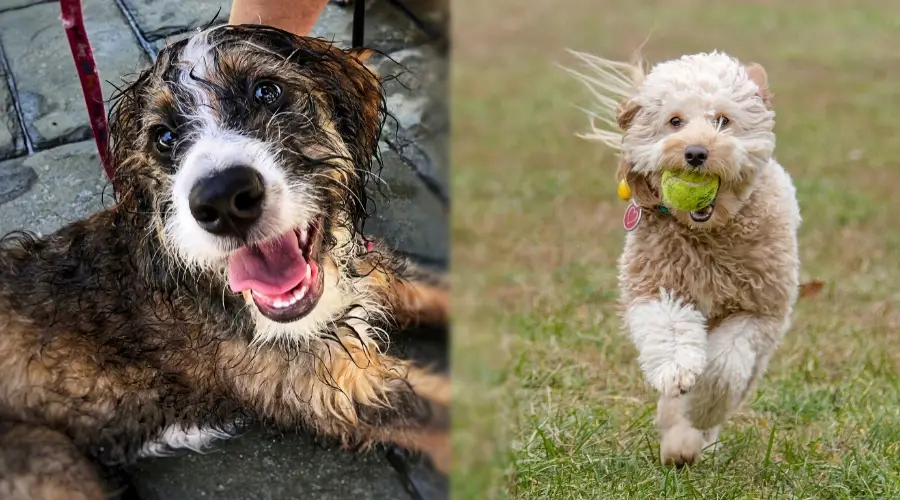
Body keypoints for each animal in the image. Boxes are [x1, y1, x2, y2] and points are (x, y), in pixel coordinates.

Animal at [0, 25, 450, 498]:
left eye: (266, 91)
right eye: (163, 137)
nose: (222, 199)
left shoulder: (374, 273)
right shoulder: (342, 387)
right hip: (51, 461)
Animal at [568, 50, 800, 464]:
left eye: (723, 119)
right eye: (675, 121)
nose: (695, 152)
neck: (707, 235)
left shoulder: (759, 310)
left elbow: (724, 367)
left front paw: (702, 409)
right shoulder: (657, 284)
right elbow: (670, 331)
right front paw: (677, 375)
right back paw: (678, 442)